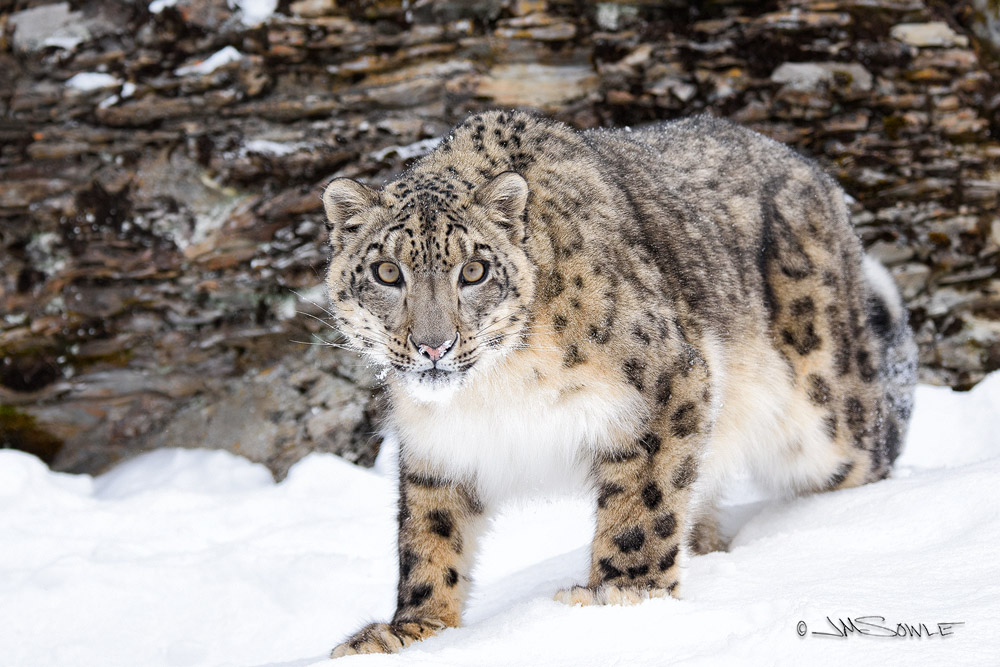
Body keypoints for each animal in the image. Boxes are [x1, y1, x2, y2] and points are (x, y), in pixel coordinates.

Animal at [320, 110, 917, 657]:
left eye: (473, 271)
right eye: (387, 272)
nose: (433, 346)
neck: (493, 391)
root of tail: (815, 174)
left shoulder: (664, 384)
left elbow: (643, 502)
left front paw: (622, 595)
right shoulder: (436, 446)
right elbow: (429, 534)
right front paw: (413, 630)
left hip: (826, 411)